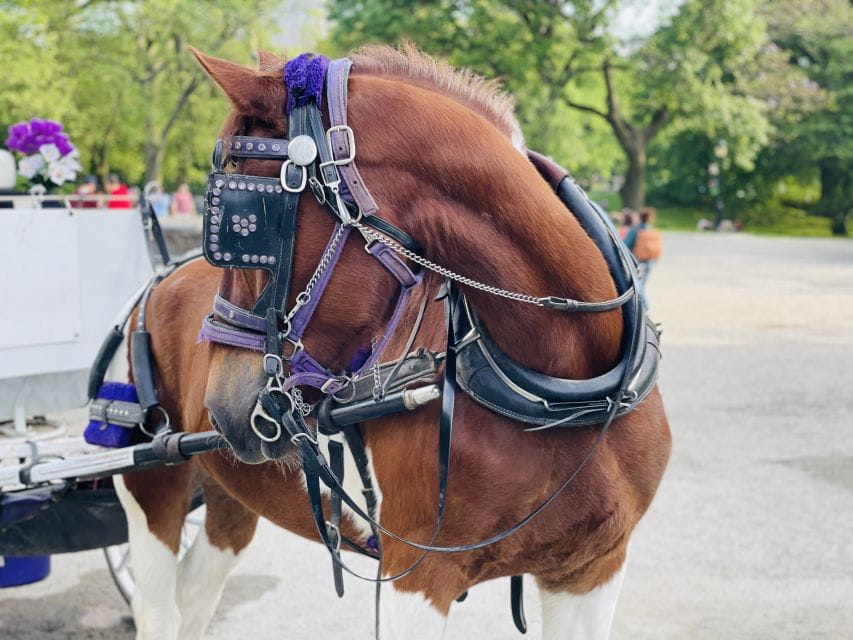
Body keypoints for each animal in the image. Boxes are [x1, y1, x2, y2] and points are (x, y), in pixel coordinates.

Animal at [113, 45, 671, 640]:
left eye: (245, 223)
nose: (222, 405)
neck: (565, 389)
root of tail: (161, 275)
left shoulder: (592, 569)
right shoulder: (420, 576)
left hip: (230, 495)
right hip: (153, 487)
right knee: (160, 609)